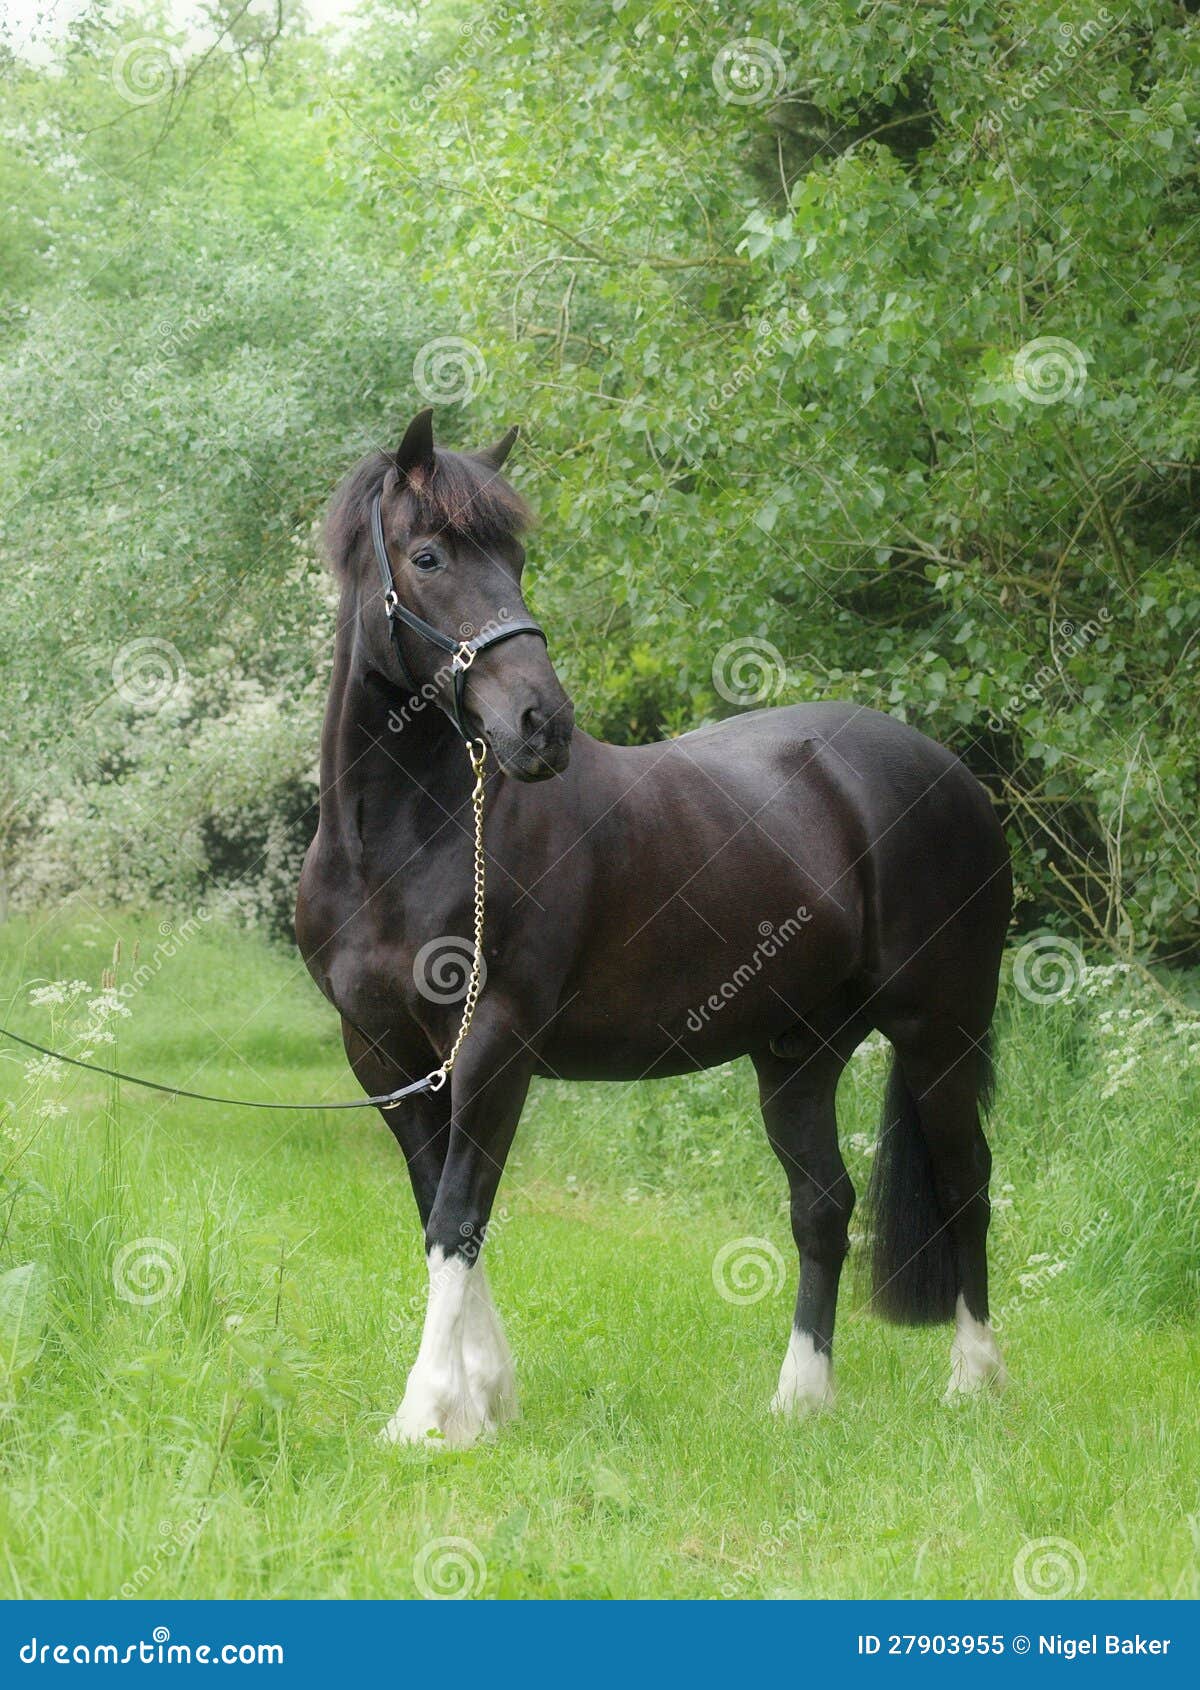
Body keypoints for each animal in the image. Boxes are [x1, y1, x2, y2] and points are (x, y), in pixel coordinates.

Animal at [295, 408, 1012, 1448]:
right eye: (427, 556)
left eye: (516, 558)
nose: (541, 725)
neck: (399, 846)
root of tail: (954, 776)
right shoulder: (384, 1055)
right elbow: (440, 1212)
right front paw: (484, 1396)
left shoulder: (495, 1044)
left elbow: (461, 1214)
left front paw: (429, 1412)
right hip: (798, 1051)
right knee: (822, 1205)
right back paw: (801, 1398)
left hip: (937, 1032)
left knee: (965, 1183)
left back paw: (974, 1381)